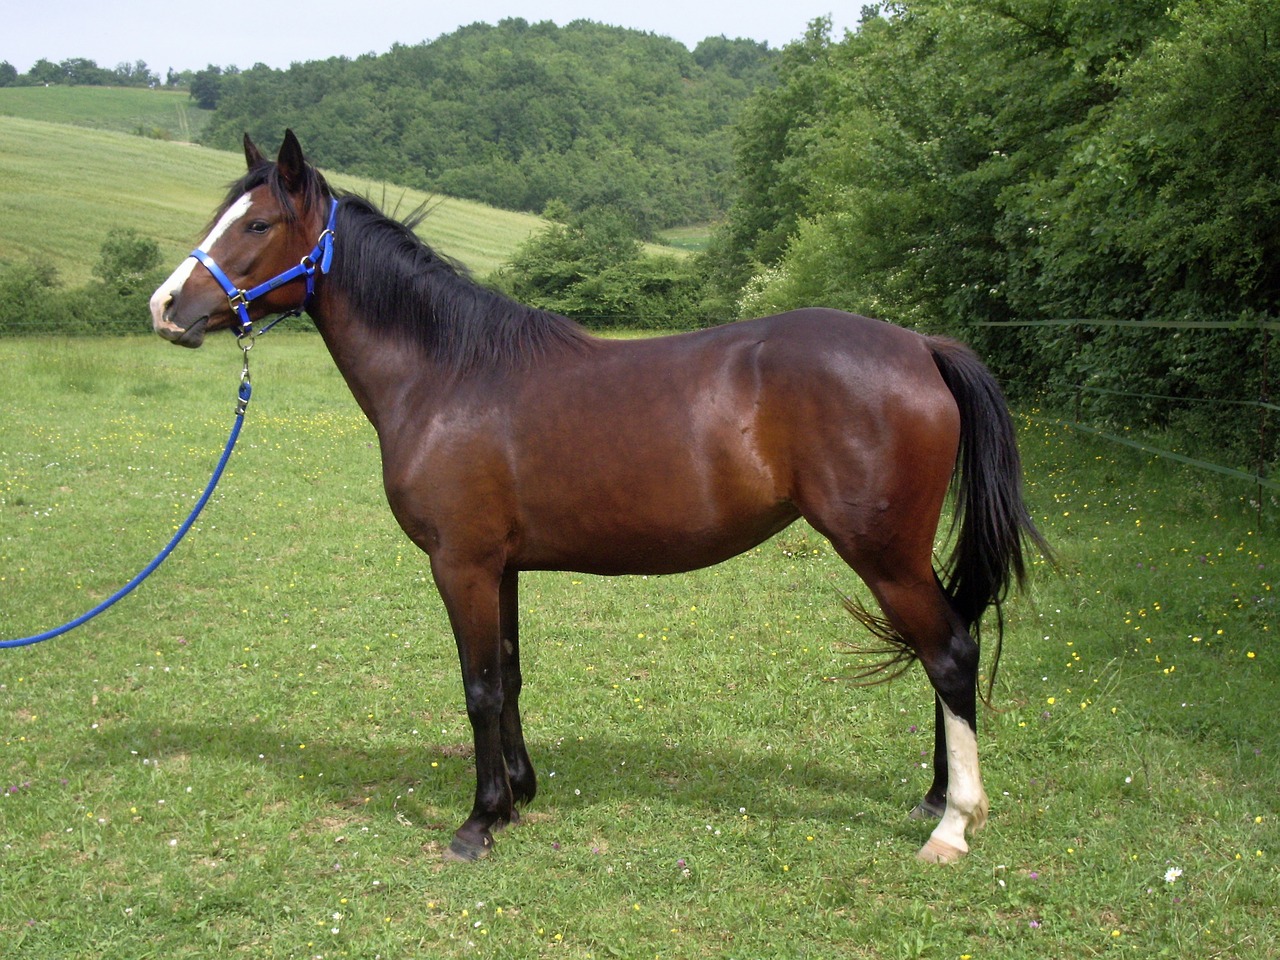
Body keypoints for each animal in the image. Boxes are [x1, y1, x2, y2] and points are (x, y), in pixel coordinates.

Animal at [152, 129, 1049, 865]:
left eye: (256, 226)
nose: (166, 308)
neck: (448, 375)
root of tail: (920, 347)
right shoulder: (502, 567)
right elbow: (511, 674)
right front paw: (518, 796)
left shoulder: (461, 564)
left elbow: (479, 687)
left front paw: (478, 823)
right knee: (946, 647)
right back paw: (934, 797)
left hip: (884, 554)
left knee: (950, 653)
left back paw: (953, 824)